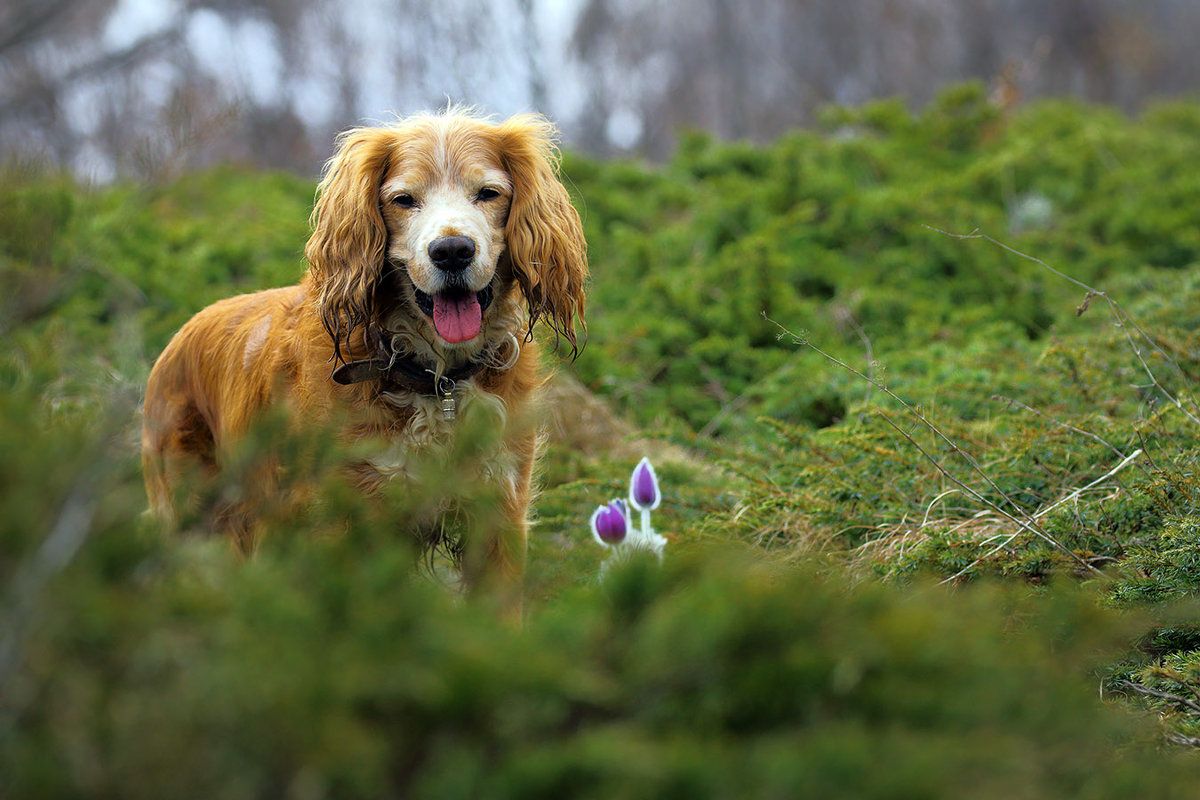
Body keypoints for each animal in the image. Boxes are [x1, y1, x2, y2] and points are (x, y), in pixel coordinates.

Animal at [139, 110, 585, 606]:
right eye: (403, 200)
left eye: (488, 193)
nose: (452, 251)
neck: (438, 381)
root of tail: (178, 337)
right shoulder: (343, 524)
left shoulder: (497, 516)